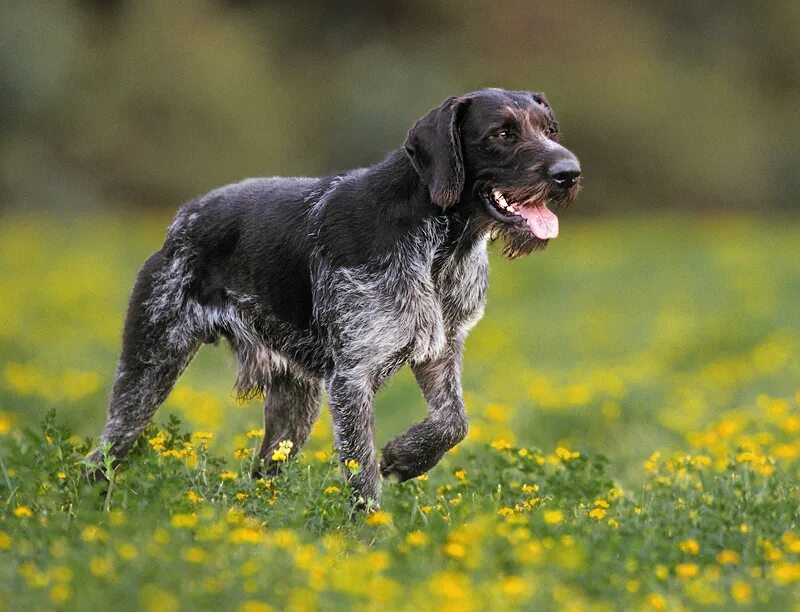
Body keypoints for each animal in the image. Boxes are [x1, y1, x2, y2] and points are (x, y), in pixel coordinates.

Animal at [90, 87, 580, 506]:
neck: (442, 244)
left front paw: (407, 457)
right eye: (501, 134)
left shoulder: (441, 350)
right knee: (102, 454)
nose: (569, 174)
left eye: (550, 130)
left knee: (263, 473)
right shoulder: (352, 378)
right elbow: (362, 476)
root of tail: (181, 219)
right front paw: (368, 537)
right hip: (150, 366)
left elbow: (454, 422)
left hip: (294, 404)